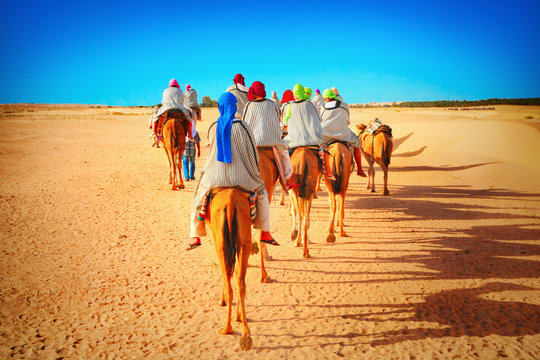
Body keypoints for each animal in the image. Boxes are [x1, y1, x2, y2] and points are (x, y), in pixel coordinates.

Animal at [209, 187, 255, 350]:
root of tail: (230, 203)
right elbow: (235, 272)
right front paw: (239, 316)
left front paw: (221, 300)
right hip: (244, 240)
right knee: (241, 281)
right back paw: (246, 332)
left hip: (221, 243)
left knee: (229, 279)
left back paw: (226, 329)